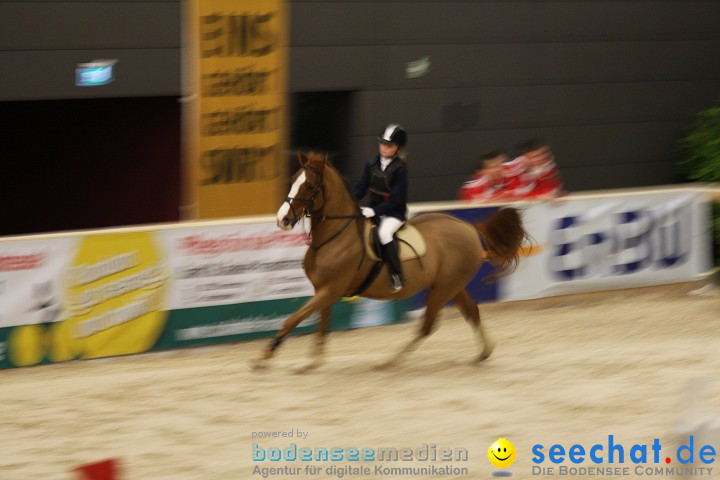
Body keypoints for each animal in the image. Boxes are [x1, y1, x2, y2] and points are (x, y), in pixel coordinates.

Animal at [253, 152, 528, 374]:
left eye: (309, 186)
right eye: (293, 180)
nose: (282, 220)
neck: (336, 235)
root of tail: (468, 226)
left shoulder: (329, 290)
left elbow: (292, 320)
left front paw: (264, 357)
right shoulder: (324, 292)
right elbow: (321, 327)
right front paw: (311, 362)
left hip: (442, 289)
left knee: (426, 327)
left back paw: (389, 362)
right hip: (452, 286)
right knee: (472, 313)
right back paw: (484, 352)